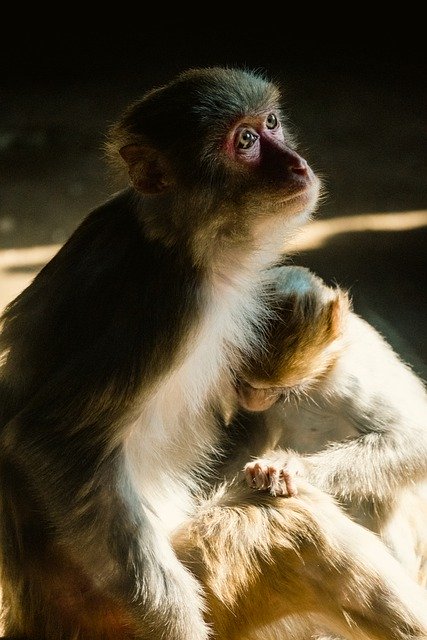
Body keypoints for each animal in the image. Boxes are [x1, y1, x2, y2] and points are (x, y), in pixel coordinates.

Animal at [236, 264, 427, 584]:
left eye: (273, 388)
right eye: (245, 382)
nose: (253, 398)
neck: (314, 381)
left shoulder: (351, 375)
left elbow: (415, 438)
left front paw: (294, 467)